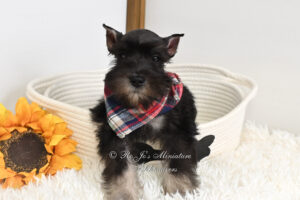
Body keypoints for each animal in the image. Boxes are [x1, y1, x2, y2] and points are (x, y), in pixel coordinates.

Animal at [90, 24, 214, 199]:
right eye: (122, 55)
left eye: (156, 58)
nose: (136, 80)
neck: (142, 106)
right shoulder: (116, 137)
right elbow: (122, 166)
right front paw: (124, 193)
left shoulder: (179, 132)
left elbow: (178, 161)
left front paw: (179, 190)